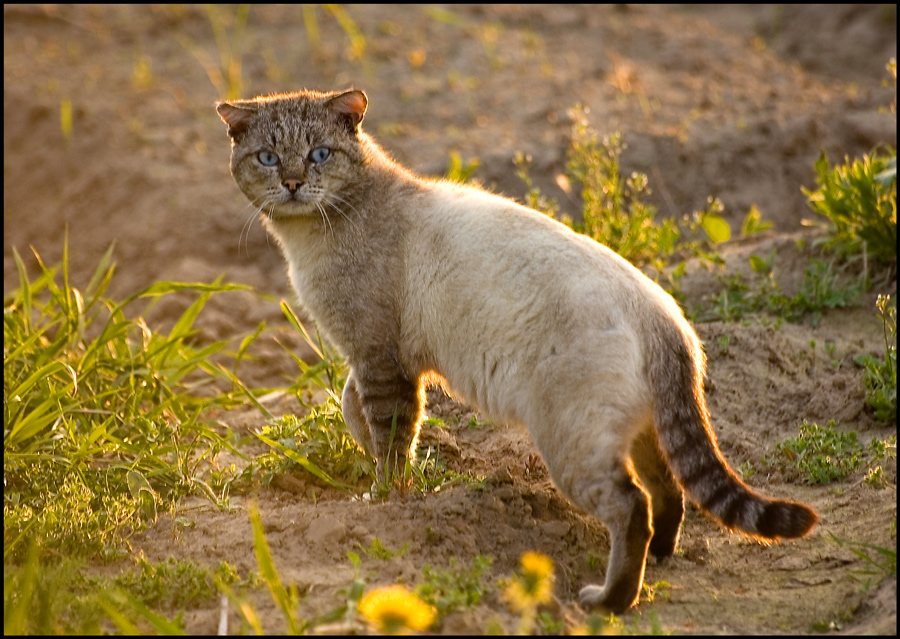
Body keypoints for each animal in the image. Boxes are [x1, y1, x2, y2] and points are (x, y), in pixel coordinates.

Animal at [216, 87, 816, 612]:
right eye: (268, 158)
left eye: (319, 154)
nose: (293, 183)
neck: (313, 235)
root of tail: (664, 318)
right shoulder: (378, 355)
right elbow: (353, 410)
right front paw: (377, 470)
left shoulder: (379, 356)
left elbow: (391, 437)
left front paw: (387, 499)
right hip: (642, 430)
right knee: (669, 491)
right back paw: (662, 561)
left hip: (571, 443)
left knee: (633, 506)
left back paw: (609, 601)